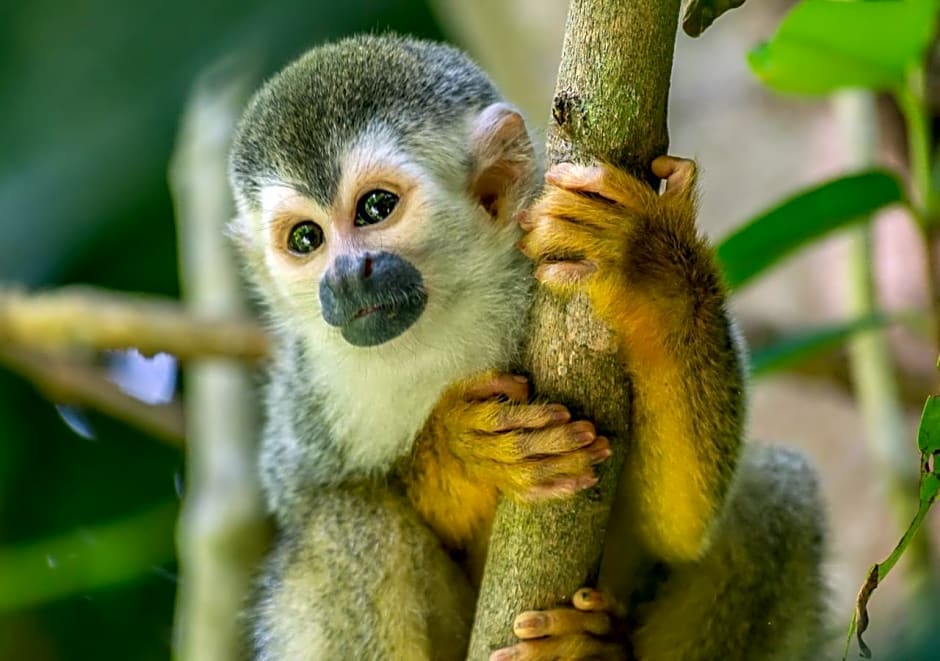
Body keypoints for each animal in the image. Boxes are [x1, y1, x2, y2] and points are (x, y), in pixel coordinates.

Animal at [231, 34, 828, 660]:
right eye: (306, 239)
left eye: (375, 207)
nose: (347, 277)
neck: (451, 316)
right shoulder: (313, 393)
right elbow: (315, 495)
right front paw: (462, 448)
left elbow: (679, 525)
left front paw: (649, 268)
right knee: (347, 525)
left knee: (776, 493)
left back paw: (593, 649)